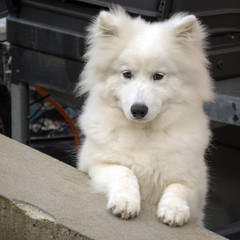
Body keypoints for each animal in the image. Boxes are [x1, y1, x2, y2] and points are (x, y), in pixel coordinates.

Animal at [76, 5, 213, 227]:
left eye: (158, 76)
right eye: (127, 74)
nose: (138, 109)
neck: (143, 132)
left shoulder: (195, 189)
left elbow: (178, 187)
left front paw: (174, 210)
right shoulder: (95, 164)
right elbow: (124, 172)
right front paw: (126, 201)